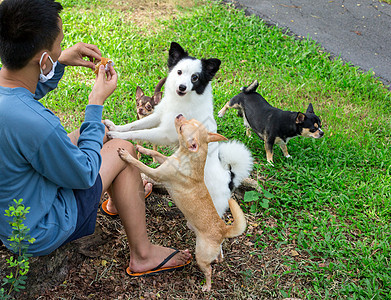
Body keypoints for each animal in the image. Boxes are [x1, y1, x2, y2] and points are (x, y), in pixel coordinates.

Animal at [104, 41, 253, 216]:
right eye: (179, 72)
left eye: (195, 77)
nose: (182, 87)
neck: (182, 100)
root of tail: (229, 179)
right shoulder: (158, 116)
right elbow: (134, 125)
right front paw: (115, 127)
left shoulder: (165, 133)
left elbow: (139, 132)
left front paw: (116, 135)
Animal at [116, 114, 247, 290]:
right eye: (190, 120)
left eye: (182, 127)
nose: (179, 115)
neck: (186, 155)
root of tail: (223, 229)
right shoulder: (165, 160)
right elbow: (154, 152)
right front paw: (141, 149)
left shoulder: (156, 174)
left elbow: (140, 165)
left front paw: (127, 156)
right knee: (219, 252)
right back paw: (219, 257)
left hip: (200, 255)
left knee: (208, 270)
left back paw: (207, 286)